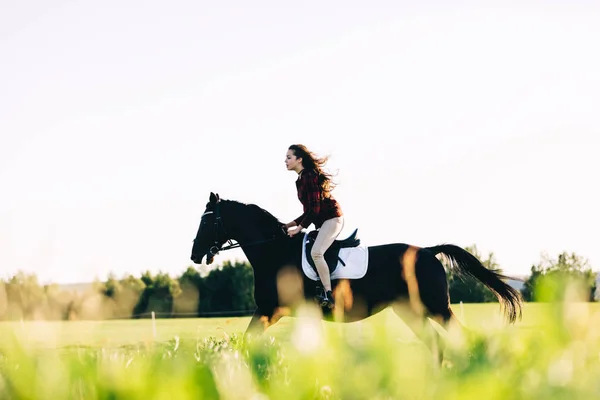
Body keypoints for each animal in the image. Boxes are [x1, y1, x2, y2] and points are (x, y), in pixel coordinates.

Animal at [190, 192, 524, 364]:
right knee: (436, 344)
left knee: (458, 337)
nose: (194, 254)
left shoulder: (271, 311)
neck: (274, 252)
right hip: (410, 312)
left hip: (437, 308)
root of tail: (429, 251)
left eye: (207, 222)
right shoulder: (272, 312)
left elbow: (248, 342)